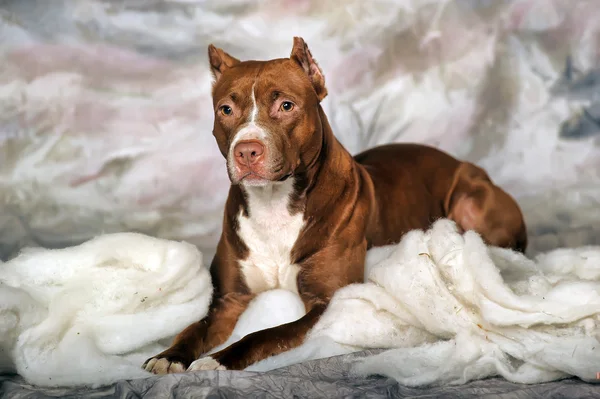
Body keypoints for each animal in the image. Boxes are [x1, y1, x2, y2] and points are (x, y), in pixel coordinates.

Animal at [143, 36, 528, 376]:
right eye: (226, 109)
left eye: (286, 106)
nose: (246, 151)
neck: (273, 203)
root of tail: (461, 162)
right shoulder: (230, 298)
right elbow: (196, 326)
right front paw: (170, 356)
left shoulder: (324, 302)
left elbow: (264, 334)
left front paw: (219, 360)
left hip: (469, 202)